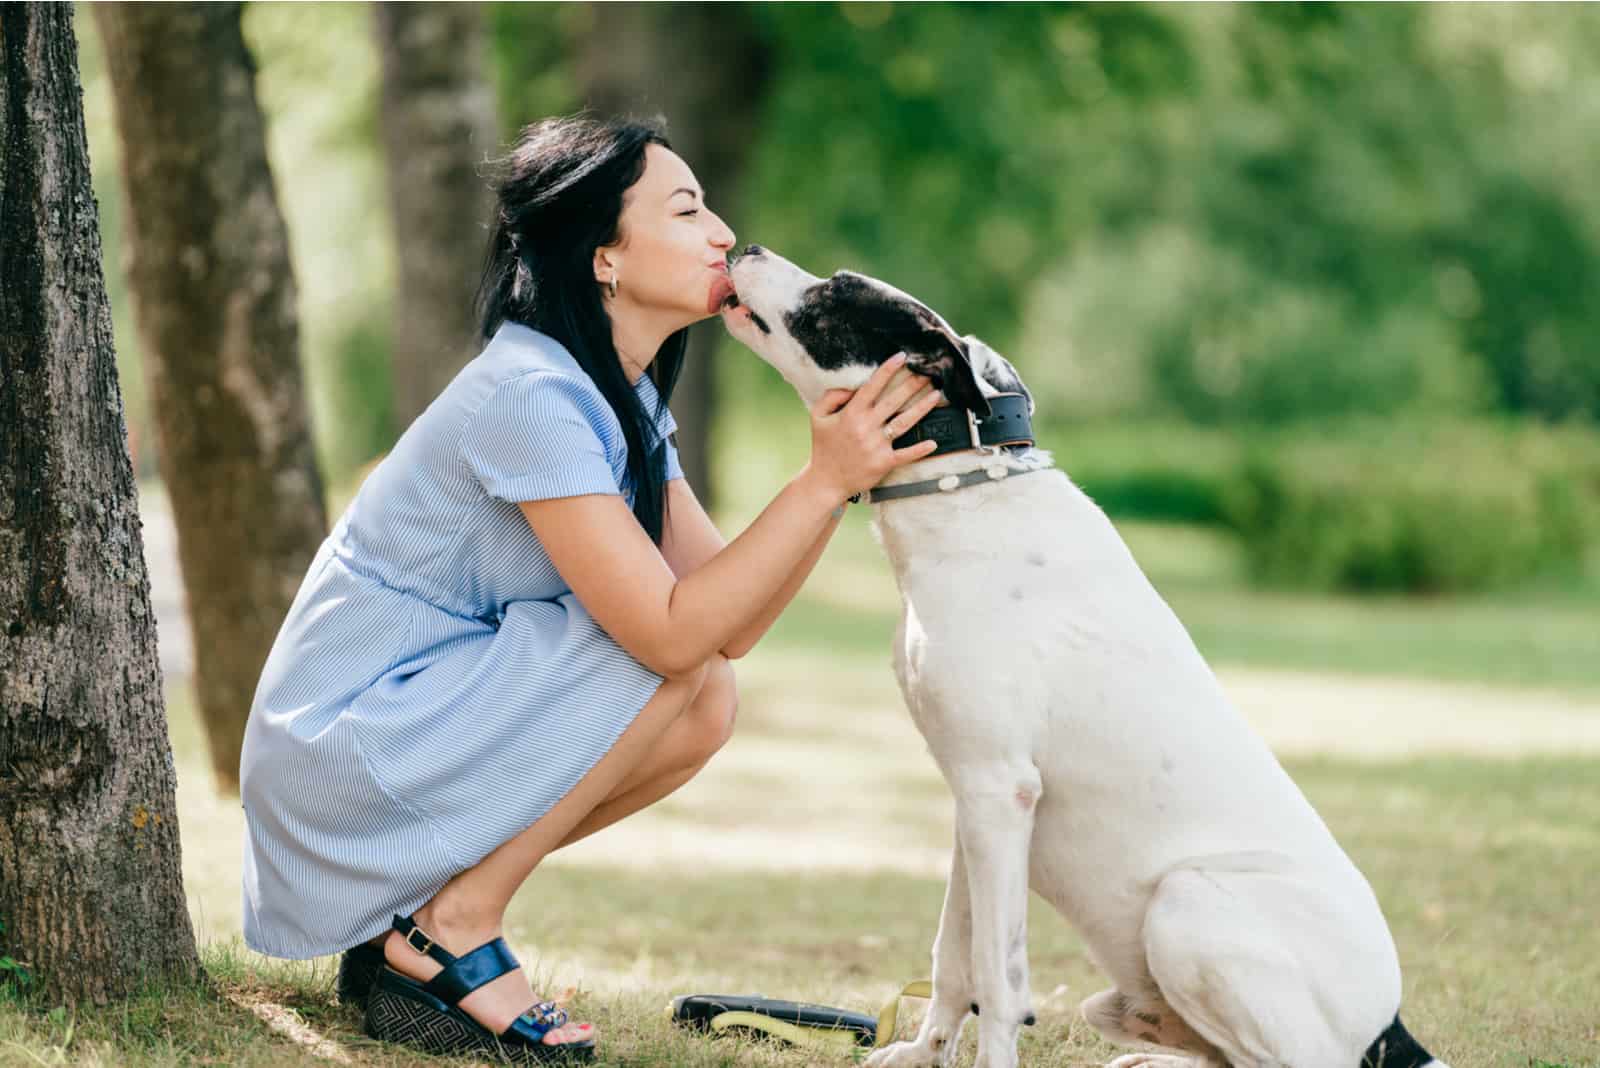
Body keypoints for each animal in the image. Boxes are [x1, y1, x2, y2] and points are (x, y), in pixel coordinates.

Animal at [720, 244, 1446, 1068]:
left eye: (835, 293)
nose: (746, 248)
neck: (962, 490)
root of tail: (1392, 1027)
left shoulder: (998, 792)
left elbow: (998, 978)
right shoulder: (976, 803)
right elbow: (953, 956)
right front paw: (924, 1053)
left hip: (1186, 907)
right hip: (1122, 996)